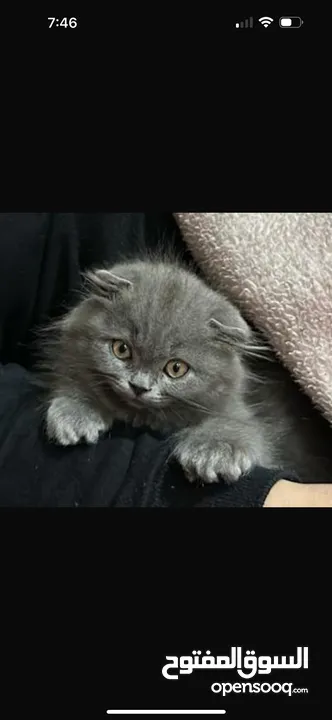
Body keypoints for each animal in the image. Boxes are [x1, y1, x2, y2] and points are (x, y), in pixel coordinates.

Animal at [41, 258, 332, 484]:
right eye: (121, 349)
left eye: (176, 368)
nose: (139, 386)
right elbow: (79, 381)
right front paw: (76, 412)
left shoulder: (243, 413)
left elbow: (236, 425)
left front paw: (214, 451)